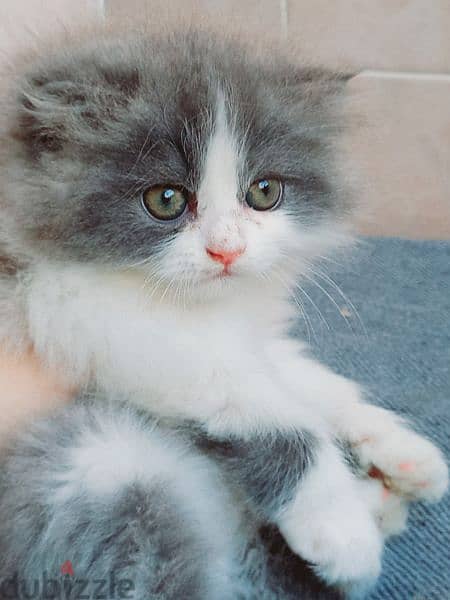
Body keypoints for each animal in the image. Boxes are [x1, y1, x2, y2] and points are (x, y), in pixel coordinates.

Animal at [0, 21, 446, 596]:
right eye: (165, 200)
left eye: (264, 191)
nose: (226, 249)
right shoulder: (92, 317)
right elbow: (279, 420)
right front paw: (340, 529)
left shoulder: (241, 333)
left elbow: (312, 383)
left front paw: (400, 447)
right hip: (104, 466)